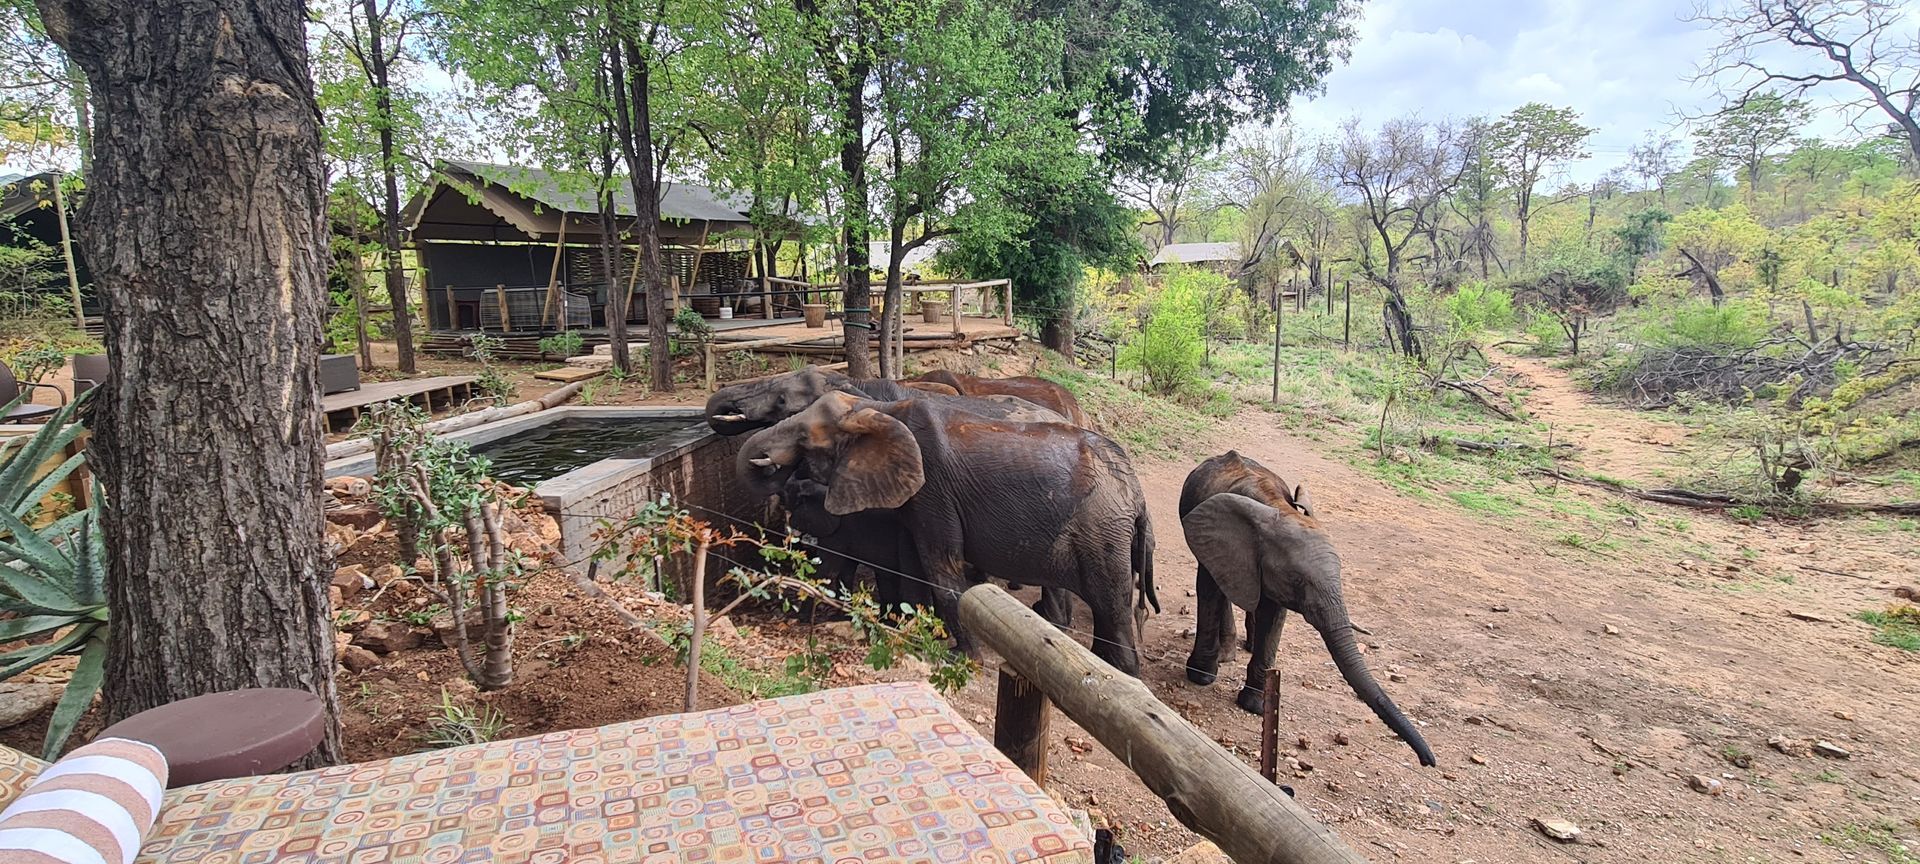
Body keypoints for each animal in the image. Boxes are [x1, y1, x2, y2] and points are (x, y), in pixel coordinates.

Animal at [738, 390, 1159, 674]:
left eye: (805, 441)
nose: (774, 469)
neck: (876, 411)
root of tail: (1138, 496)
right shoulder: (915, 502)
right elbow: (913, 567)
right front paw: (915, 631)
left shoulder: (934, 490)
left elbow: (941, 569)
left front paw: (961, 656)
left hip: (1102, 534)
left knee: (1112, 609)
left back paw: (1121, 673)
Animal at [1179, 451, 1436, 767]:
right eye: (1297, 580)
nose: (1428, 762)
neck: (1277, 507)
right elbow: (1210, 590)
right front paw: (1200, 677)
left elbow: (1273, 616)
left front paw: (1255, 705)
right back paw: (1226, 656)